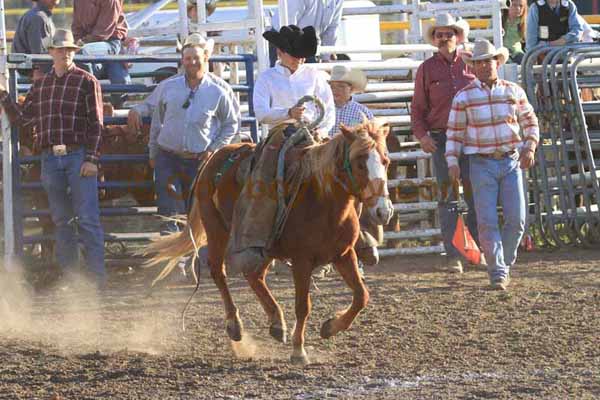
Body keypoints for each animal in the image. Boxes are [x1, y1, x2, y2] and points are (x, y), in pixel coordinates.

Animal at [145, 121, 394, 362]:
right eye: (360, 164)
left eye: (386, 161)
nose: (383, 211)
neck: (324, 201)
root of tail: (214, 157)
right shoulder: (302, 260)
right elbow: (303, 306)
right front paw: (298, 351)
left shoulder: (343, 254)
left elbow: (362, 296)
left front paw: (330, 327)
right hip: (217, 229)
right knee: (218, 271)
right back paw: (235, 326)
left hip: (264, 245)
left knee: (254, 275)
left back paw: (276, 323)